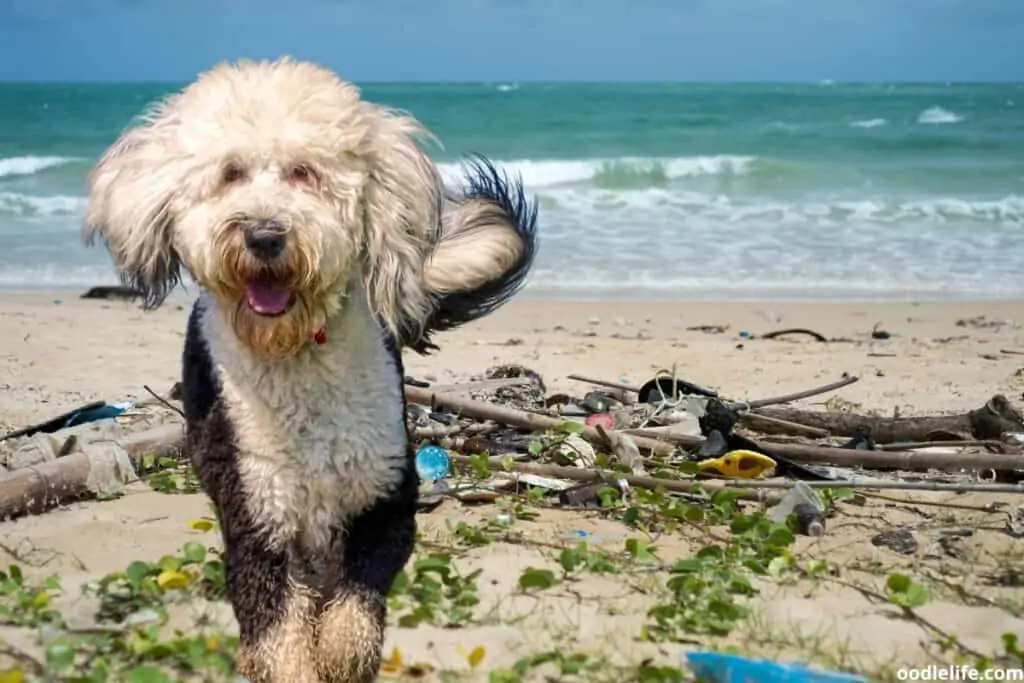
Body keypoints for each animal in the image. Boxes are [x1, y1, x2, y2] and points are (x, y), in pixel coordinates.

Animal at [81, 56, 536, 679]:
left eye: (305, 172)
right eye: (230, 174)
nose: (264, 235)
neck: (296, 354)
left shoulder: (385, 500)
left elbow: (355, 601)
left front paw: (342, 651)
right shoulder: (258, 518)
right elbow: (276, 626)